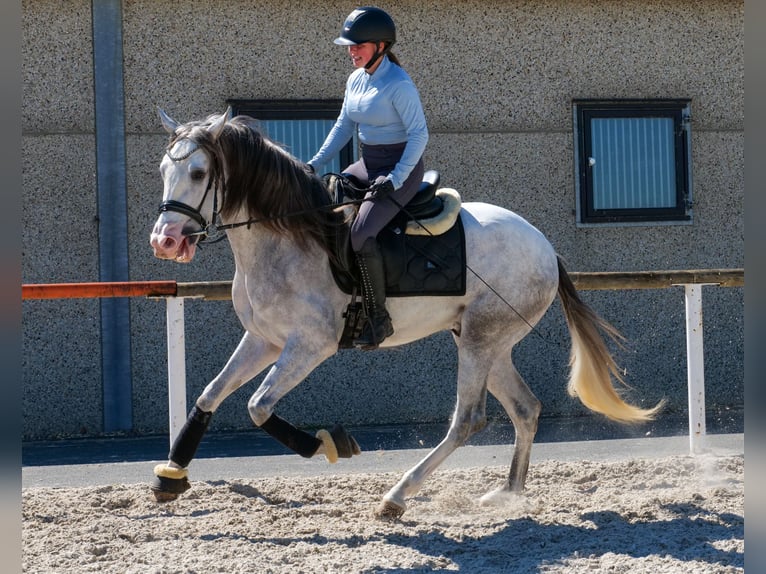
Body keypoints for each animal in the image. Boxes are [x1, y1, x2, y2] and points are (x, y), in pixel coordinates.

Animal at [149, 107, 663, 519]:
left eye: (199, 173)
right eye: (163, 169)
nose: (164, 241)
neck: (288, 238)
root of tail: (544, 246)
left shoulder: (309, 346)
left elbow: (257, 406)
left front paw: (329, 443)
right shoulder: (264, 340)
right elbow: (210, 396)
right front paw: (170, 475)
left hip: (480, 342)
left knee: (468, 419)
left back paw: (396, 496)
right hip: (485, 342)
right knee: (524, 408)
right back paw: (509, 494)